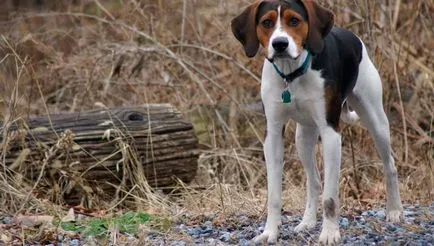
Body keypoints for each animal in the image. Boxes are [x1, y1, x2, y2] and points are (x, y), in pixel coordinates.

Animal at [231, 0, 404, 244]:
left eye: (294, 20)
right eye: (266, 23)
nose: (280, 44)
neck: (292, 75)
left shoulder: (330, 133)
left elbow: (330, 198)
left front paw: (330, 233)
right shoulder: (272, 135)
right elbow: (274, 195)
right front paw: (270, 232)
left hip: (377, 122)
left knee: (390, 166)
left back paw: (395, 210)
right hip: (303, 137)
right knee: (313, 181)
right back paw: (307, 222)